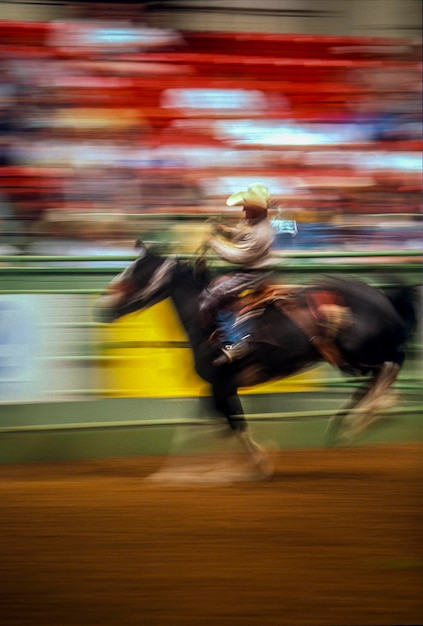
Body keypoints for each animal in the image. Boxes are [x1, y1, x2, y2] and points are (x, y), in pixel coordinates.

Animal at [94, 241, 420, 476]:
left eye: (135, 272)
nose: (102, 308)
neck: (204, 322)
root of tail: (384, 298)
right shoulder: (215, 387)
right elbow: (202, 425)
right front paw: (177, 473)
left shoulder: (223, 385)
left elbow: (234, 424)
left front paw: (259, 463)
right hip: (349, 359)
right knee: (380, 376)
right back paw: (351, 423)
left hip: (356, 353)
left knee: (390, 365)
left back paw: (364, 418)